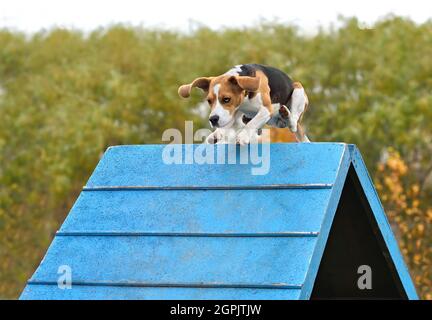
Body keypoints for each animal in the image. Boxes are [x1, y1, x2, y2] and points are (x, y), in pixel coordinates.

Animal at [177, 63, 308, 144]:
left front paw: (243, 137)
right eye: (209, 101)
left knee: (293, 123)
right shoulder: (235, 112)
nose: (213, 119)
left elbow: (252, 123)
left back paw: (286, 114)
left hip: (298, 89)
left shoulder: (266, 109)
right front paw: (218, 132)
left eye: (226, 99)